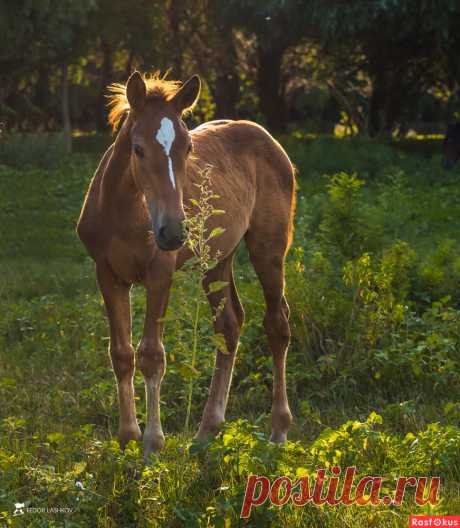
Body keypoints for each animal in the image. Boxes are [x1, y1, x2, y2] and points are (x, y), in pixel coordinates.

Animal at [77, 72, 296, 460]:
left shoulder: (159, 276)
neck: (124, 212)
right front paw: (127, 438)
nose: (174, 231)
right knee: (229, 324)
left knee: (277, 324)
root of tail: (269, 140)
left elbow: (151, 355)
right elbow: (121, 354)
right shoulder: (107, 274)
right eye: (138, 149)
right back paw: (207, 432)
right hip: (217, 260)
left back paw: (278, 431)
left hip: (268, 249)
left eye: (189, 148)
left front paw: (152, 445)